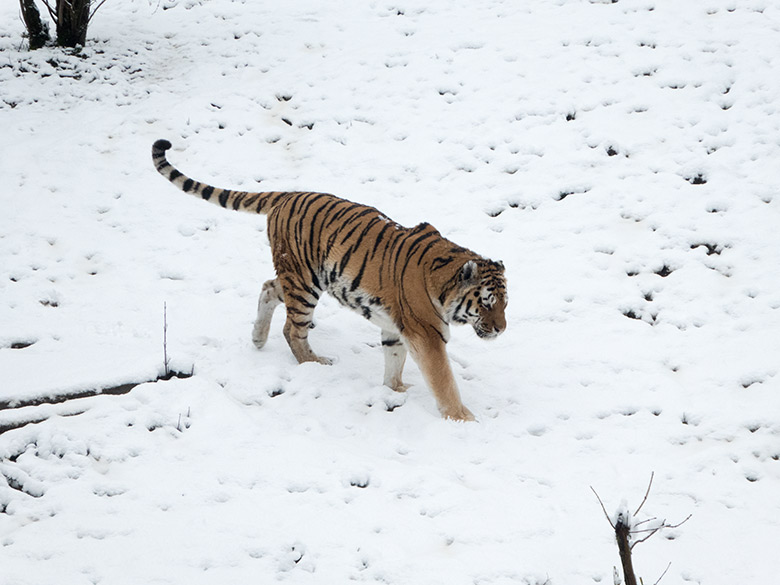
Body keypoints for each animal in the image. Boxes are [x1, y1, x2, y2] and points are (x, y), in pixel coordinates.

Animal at [153, 139, 508, 422]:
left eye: (505, 304)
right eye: (486, 303)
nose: (502, 329)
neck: (445, 282)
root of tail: (287, 195)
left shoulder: (396, 327)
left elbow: (394, 359)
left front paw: (396, 389)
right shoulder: (428, 335)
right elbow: (444, 380)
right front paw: (462, 418)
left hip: (297, 277)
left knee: (268, 288)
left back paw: (258, 338)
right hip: (304, 284)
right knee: (292, 329)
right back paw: (314, 362)